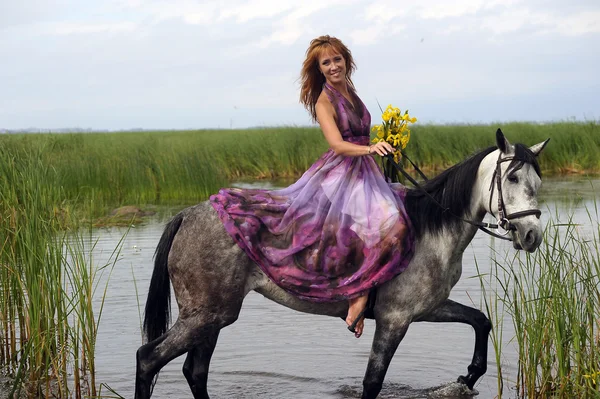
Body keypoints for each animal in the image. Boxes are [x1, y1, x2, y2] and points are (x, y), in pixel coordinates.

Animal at [135, 130, 548, 398]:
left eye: (537, 181)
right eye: (512, 177)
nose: (531, 235)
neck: (431, 229)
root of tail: (187, 215)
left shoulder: (427, 309)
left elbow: (481, 320)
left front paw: (469, 376)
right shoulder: (395, 319)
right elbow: (372, 382)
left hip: (215, 316)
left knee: (194, 372)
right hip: (205, 316)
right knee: (148, 359)